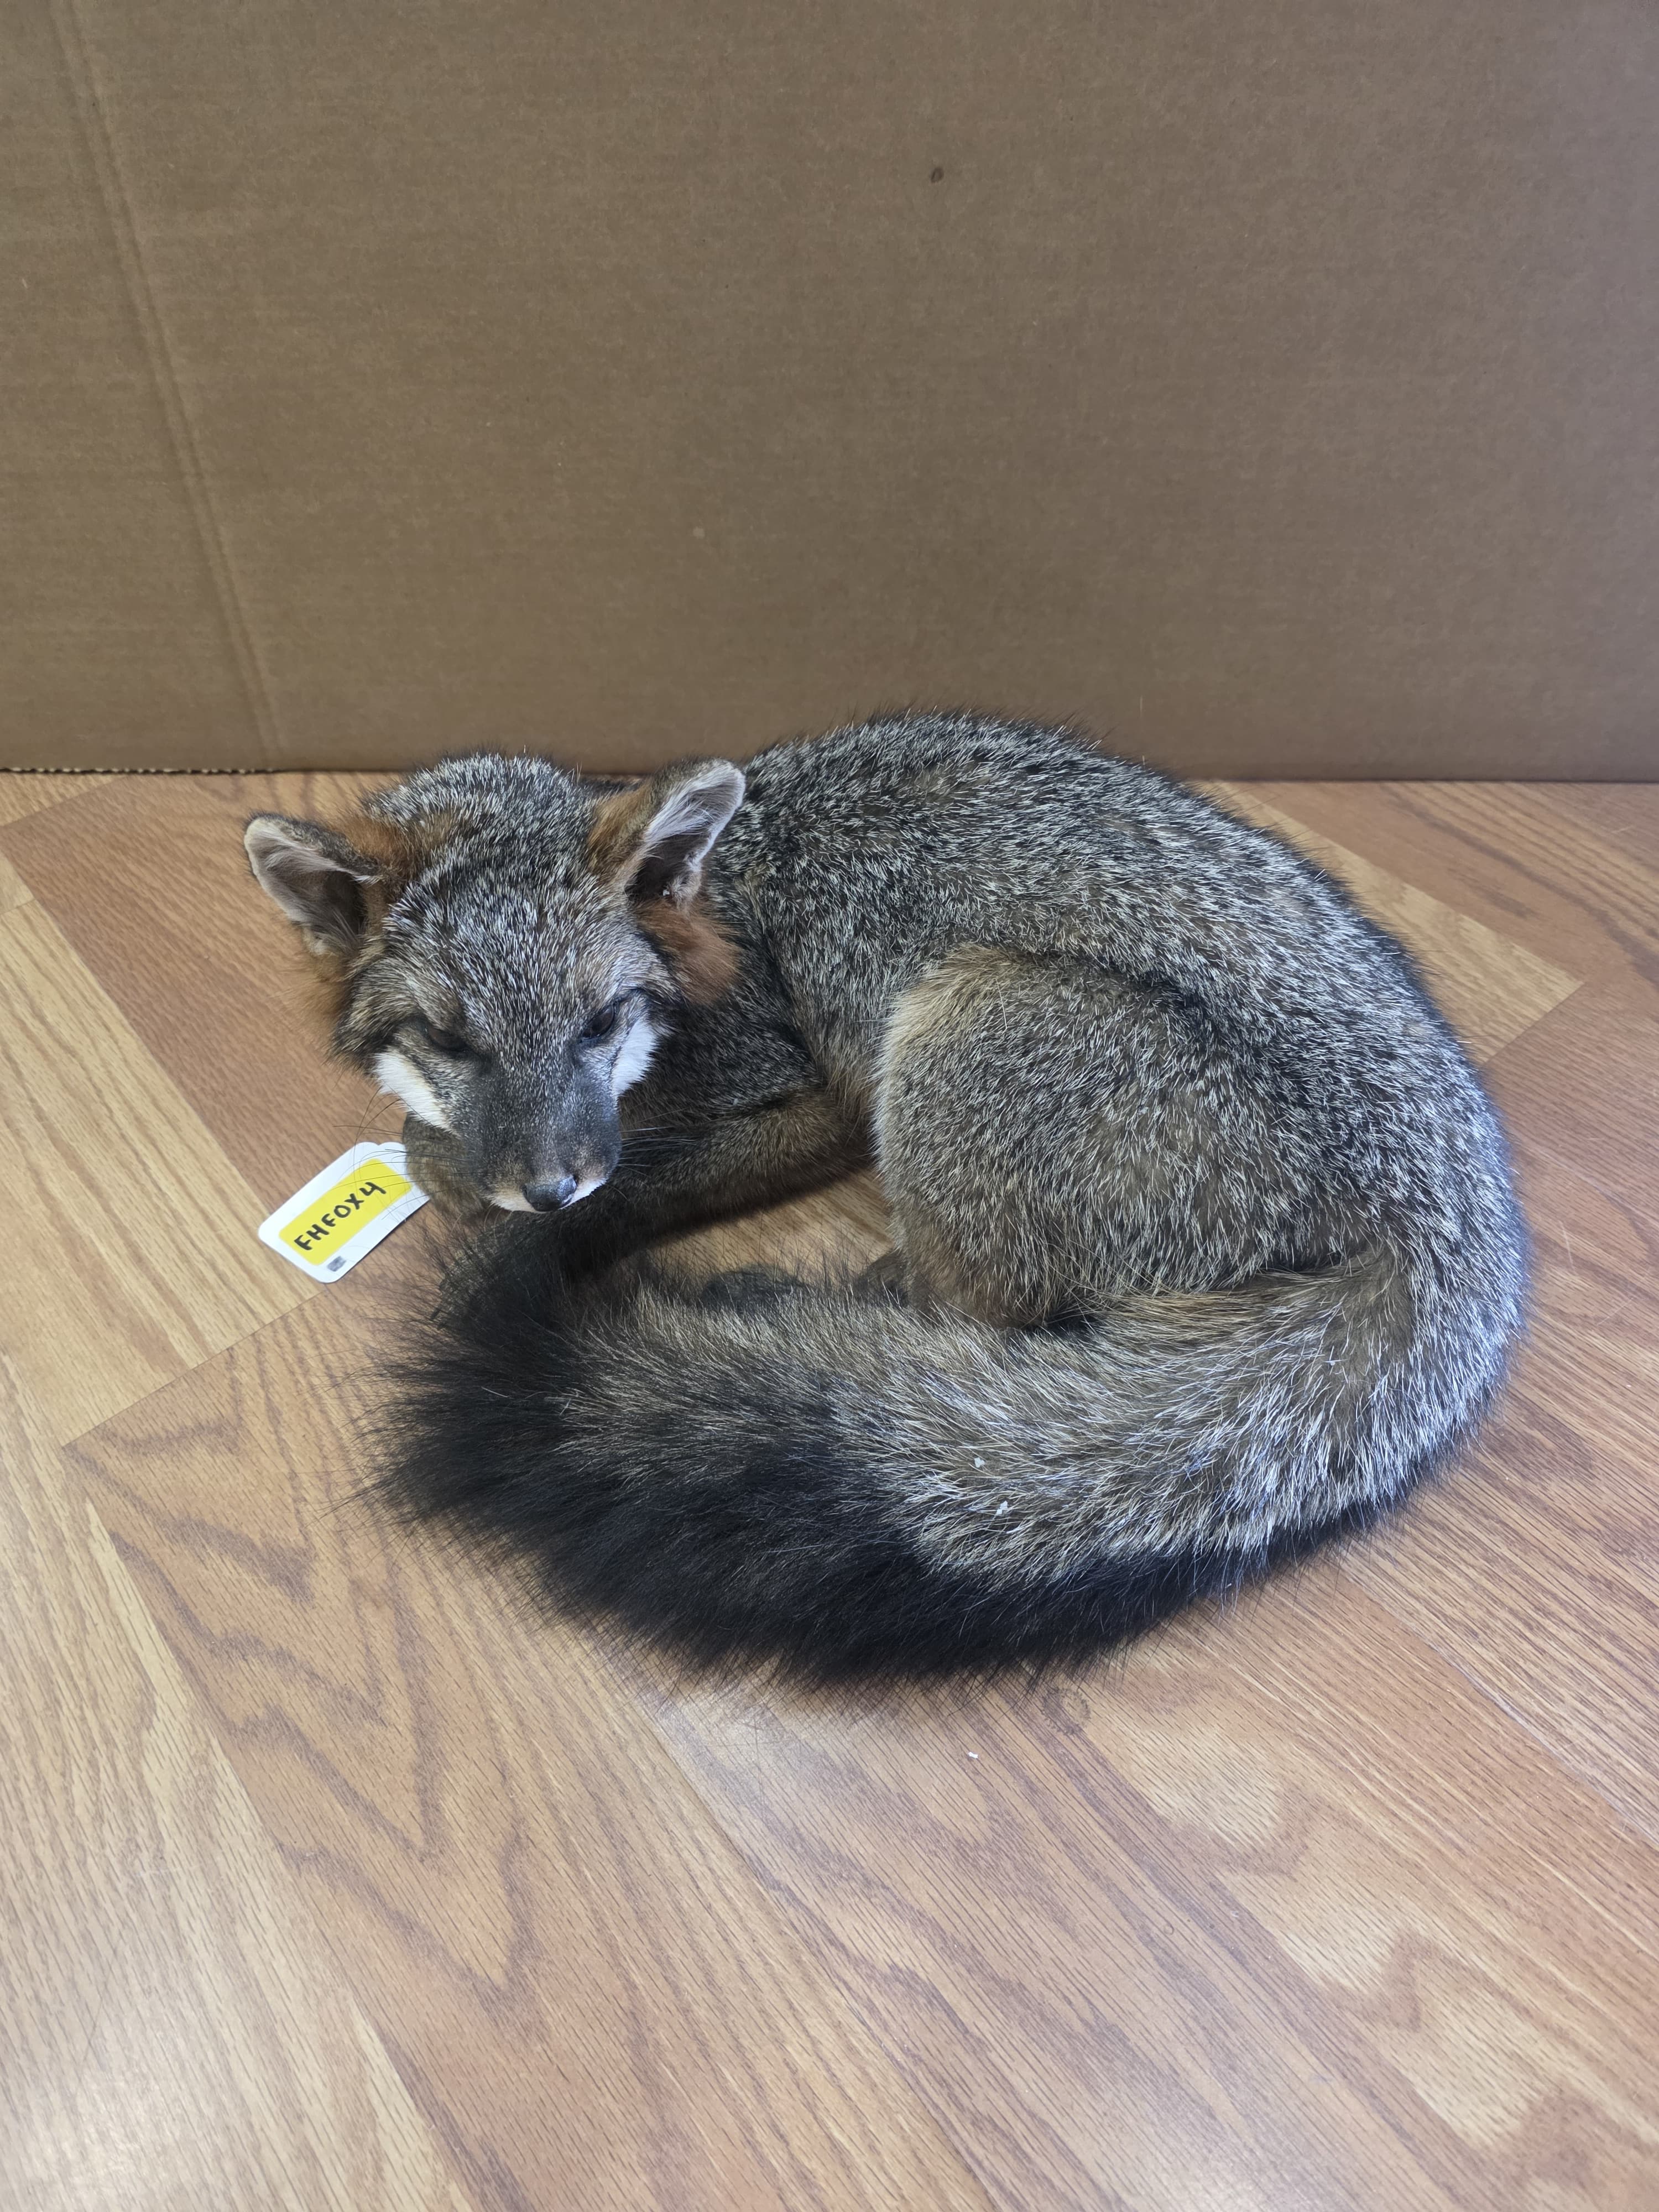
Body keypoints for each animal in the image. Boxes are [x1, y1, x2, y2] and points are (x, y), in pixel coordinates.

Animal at [244, 712, 1527, 1681]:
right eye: (452, 1040)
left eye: (600, 1022)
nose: (555, 1185)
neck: (716, 904)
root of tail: (1451, 1213)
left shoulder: (808, 1090)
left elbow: (562, 1162)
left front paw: (466, 1175)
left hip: (954, 1022)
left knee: (983, 1314)